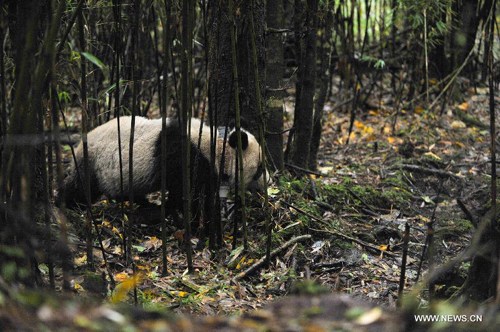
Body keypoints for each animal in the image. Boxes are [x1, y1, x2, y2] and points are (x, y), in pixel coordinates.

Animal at [59, 115, 266, 224]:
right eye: (259, 169)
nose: (268, 183)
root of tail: (80, 142)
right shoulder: (184, 158)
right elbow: (190, 194)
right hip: (92, 161)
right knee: (80, 186)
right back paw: (66, 204)